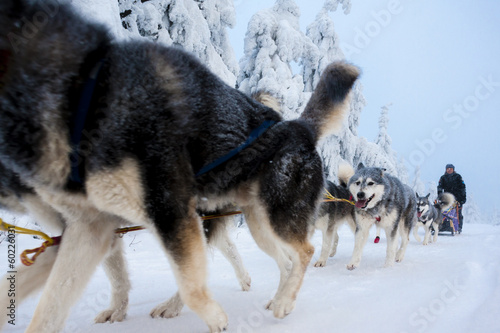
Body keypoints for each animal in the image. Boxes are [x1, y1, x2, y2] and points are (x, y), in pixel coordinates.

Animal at [0, 1, 360, 330]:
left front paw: (214, 318)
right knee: (284, 259)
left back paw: (283, 301)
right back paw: (278, 298)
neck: (86, 96)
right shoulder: (90, 227)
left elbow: (190, 285)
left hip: (275, 217)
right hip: (259, 223)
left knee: (304, 251)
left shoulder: (168, 210)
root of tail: (299, 127)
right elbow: (52, 300)